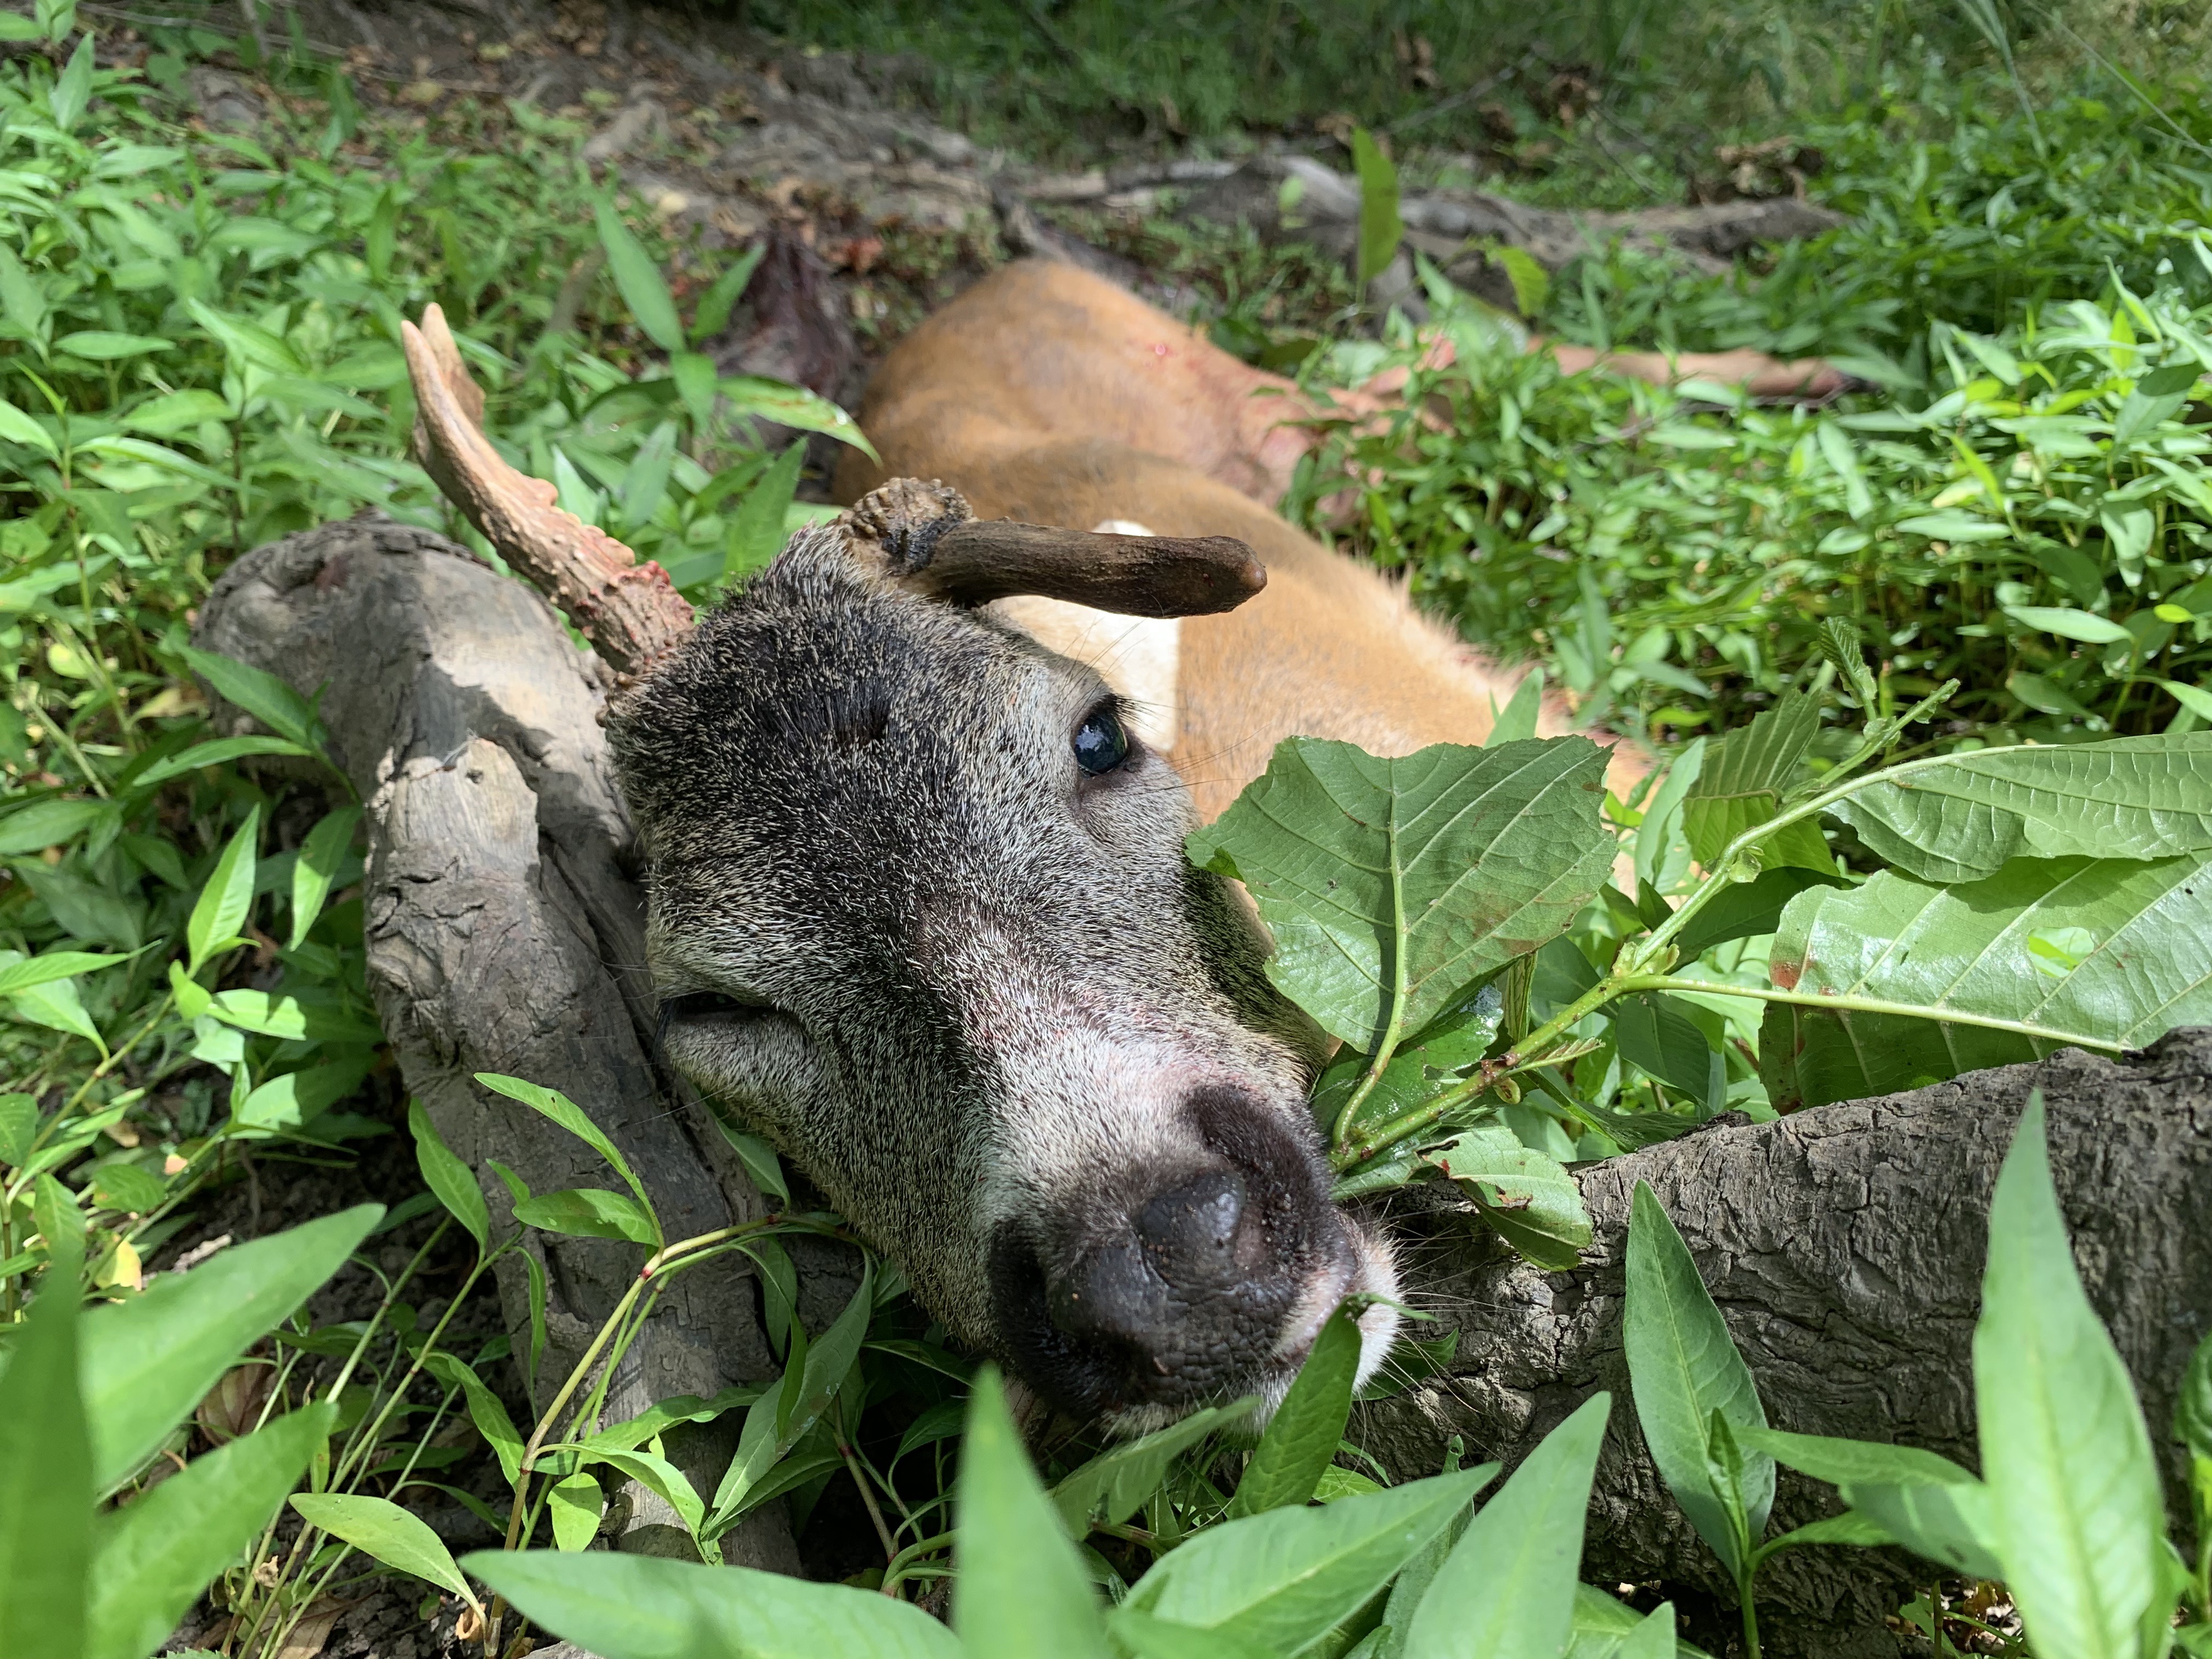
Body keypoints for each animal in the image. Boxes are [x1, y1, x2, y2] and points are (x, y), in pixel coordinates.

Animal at [401, 256, 1834, 1429]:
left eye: (1098, 735)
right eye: (713, 1008)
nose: (1168, 1271)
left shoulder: (1627, 778)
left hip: (1291, 407)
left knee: (1471, 355)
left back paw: (1806, 369)